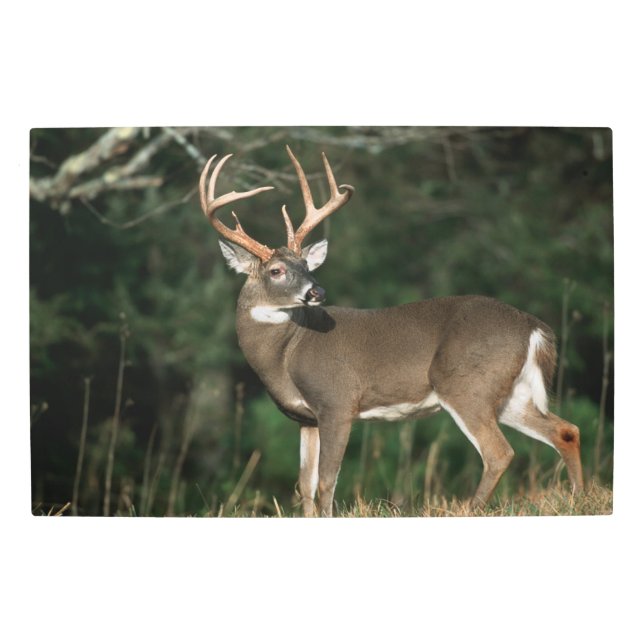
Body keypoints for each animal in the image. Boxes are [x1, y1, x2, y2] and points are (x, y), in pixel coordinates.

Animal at [198, 145, 584, 517]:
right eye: (276, 270)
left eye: (306, 264)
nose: (317, 292)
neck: (286, 354)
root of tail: (533, 326)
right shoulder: (305, 419)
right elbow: (305, 486)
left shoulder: (337, 402)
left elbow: (326, 482)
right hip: (508, 392)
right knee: (566, 430)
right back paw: (578, 498)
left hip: (466, 383)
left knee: (499, 452)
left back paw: (474, 510)